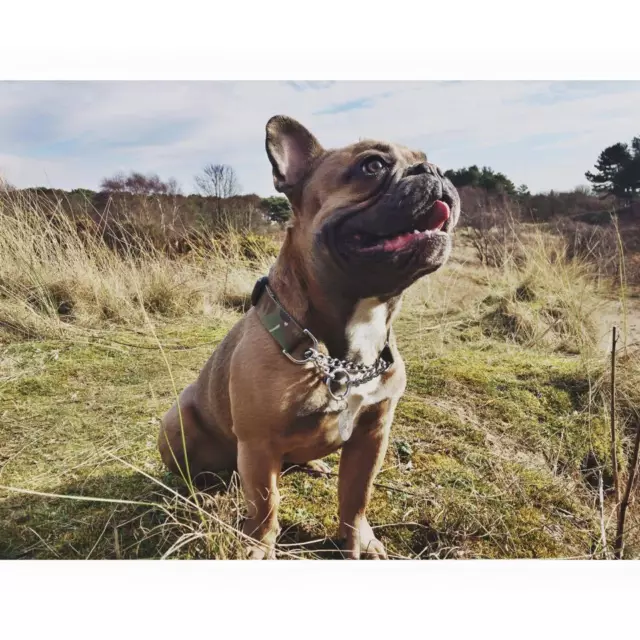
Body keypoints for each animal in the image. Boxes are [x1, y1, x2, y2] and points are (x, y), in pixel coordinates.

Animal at [159, 116, 460, 560]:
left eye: (426, 159)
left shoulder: (373, 434)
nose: (435, 170)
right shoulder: (258, 444)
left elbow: (356, 496)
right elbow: (266, 503)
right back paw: (204, 490)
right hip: (176, 422)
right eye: (372, 165)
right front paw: (259, 547)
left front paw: (359, 541)